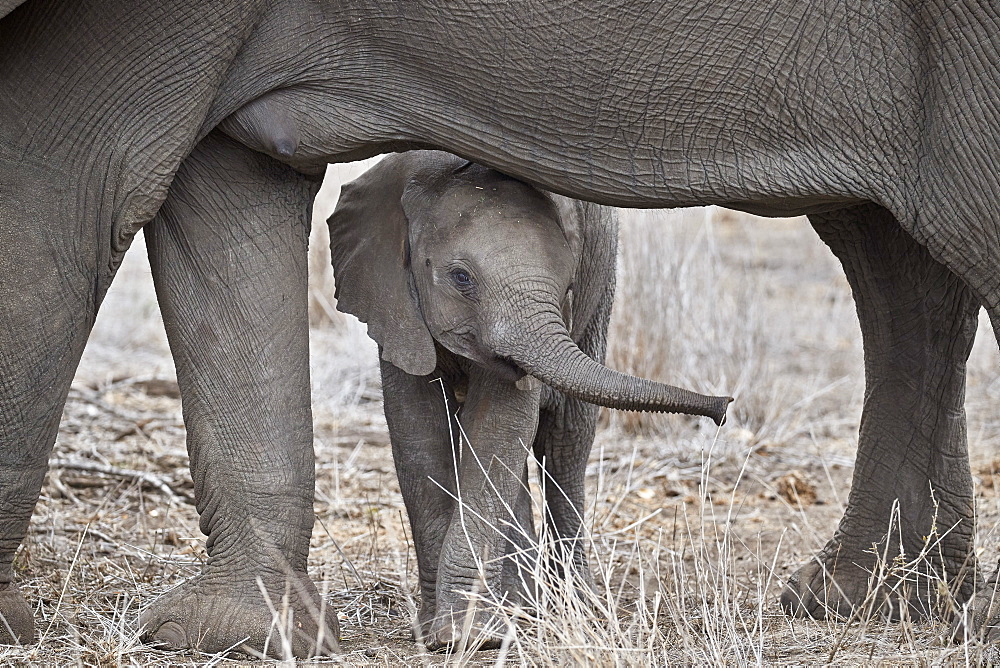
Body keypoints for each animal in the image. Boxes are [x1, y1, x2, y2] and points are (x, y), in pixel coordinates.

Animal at [328, 153, 728, 652]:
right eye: (461, 279)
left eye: (567, 287)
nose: (723, 408)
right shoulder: (394, 303)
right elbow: (416, 430)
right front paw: (443, 633)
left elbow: (499, 426)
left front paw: (469, 636)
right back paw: (521, 607)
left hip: (602, 294)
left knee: (564, 444)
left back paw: (570, 607)